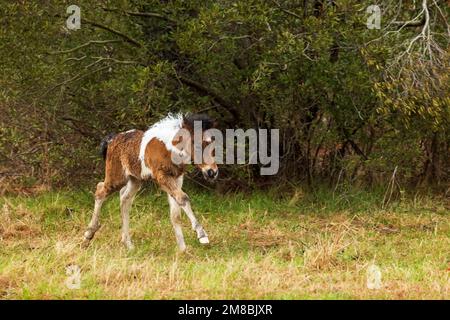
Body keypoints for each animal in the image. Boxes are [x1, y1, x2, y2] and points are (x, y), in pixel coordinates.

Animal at [84, 114, 220, 251]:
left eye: (214, 146)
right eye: (197, 145)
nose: (212, 172)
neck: (169, 148)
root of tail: (112, 140)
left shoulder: (177, 178)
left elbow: (175, 214)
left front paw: (182, 249)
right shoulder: (162, 177)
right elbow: (183, 199)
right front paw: (201, 235)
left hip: (135, 180)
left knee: (125, 199)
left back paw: (128, 244)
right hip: (117, 177)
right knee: (100, 191)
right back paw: (88, 235)